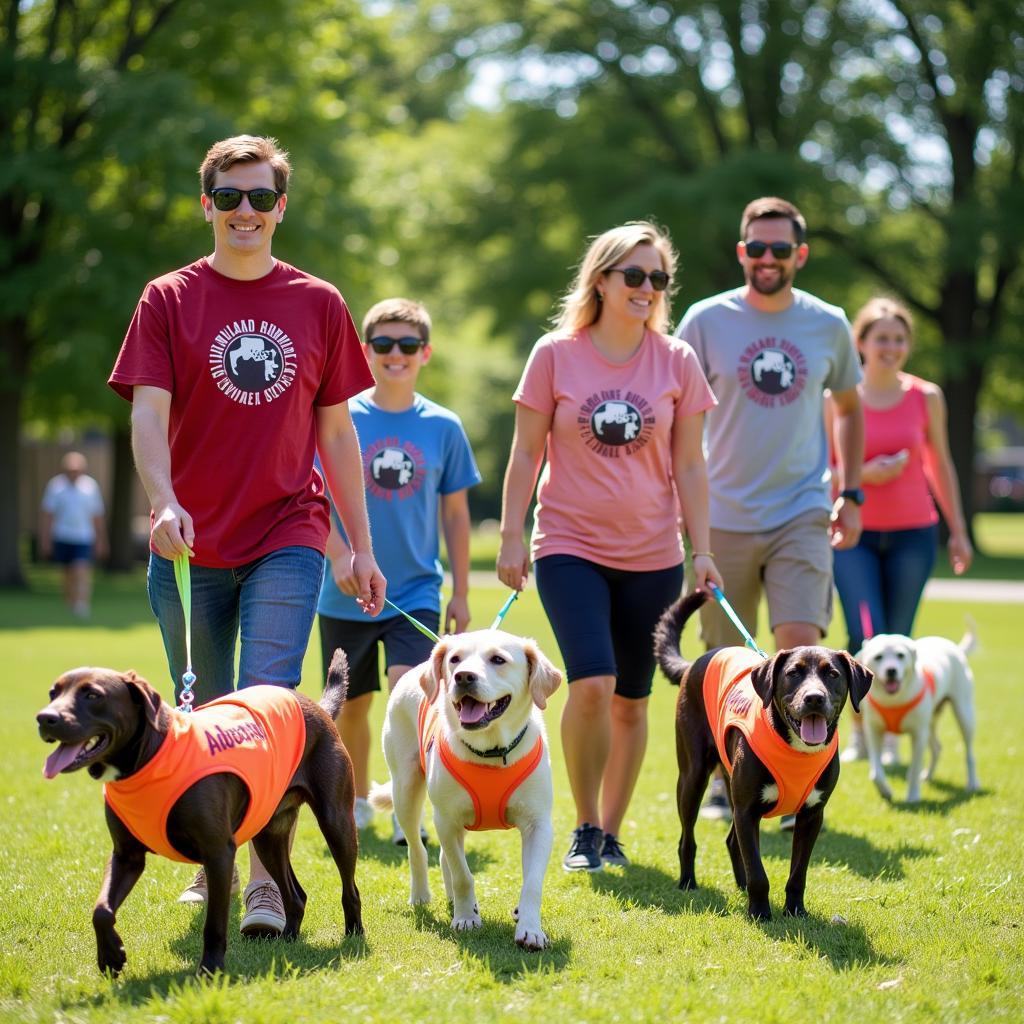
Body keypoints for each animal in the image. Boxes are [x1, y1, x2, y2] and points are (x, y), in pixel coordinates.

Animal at [37, 651, 364, 970]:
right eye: (53, 692)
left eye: (93, 695)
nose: (45, 718)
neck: (150, 758)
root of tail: (319, 709)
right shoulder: (126, 856)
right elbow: (101, 909)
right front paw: (111, 955)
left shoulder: (218, 853)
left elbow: (214, 925)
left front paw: (210, 969)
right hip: (267, 834)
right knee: (296, 895)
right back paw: (288, 940)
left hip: (336, 822)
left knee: (350, 889)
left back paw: (354, 935)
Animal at [368, 630, 561, 950]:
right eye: (455, 659)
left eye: (498, 659)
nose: (463, 676)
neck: (493, 752)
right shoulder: (446, 819)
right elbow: (462, 875)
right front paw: (466, 918)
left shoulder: (539, 824)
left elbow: (532, 882)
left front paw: (531, 929)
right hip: (405, 790)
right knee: (418, 850)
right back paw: (422, 895)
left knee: (444, 856)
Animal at [655, 593, 872, 921]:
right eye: (793, 673)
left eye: (832, 674)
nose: (814, 698)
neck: (795, 747)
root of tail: (696, 663)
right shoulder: (747, 811)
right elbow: (758, 871)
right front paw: (759, 911)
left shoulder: (811, 816)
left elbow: (798, 872)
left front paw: (795, 910)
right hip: (693, 776)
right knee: (688, 838)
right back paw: (688, 882)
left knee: (733, 842)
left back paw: (740, 886)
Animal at [856, 626, 974, 802]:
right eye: (878, 657)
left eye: (900, 655)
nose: (891, 670)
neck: (893, 700)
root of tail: (956, 648)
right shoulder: (874, 731)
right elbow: (875, 772)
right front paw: (885, 791)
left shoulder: (918, 735)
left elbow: (913, 768)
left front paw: (913, 797)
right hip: (930, 722)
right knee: (937, 748)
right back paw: (927, 776)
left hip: (964, 712)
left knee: (969, 752)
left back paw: (973, 783)